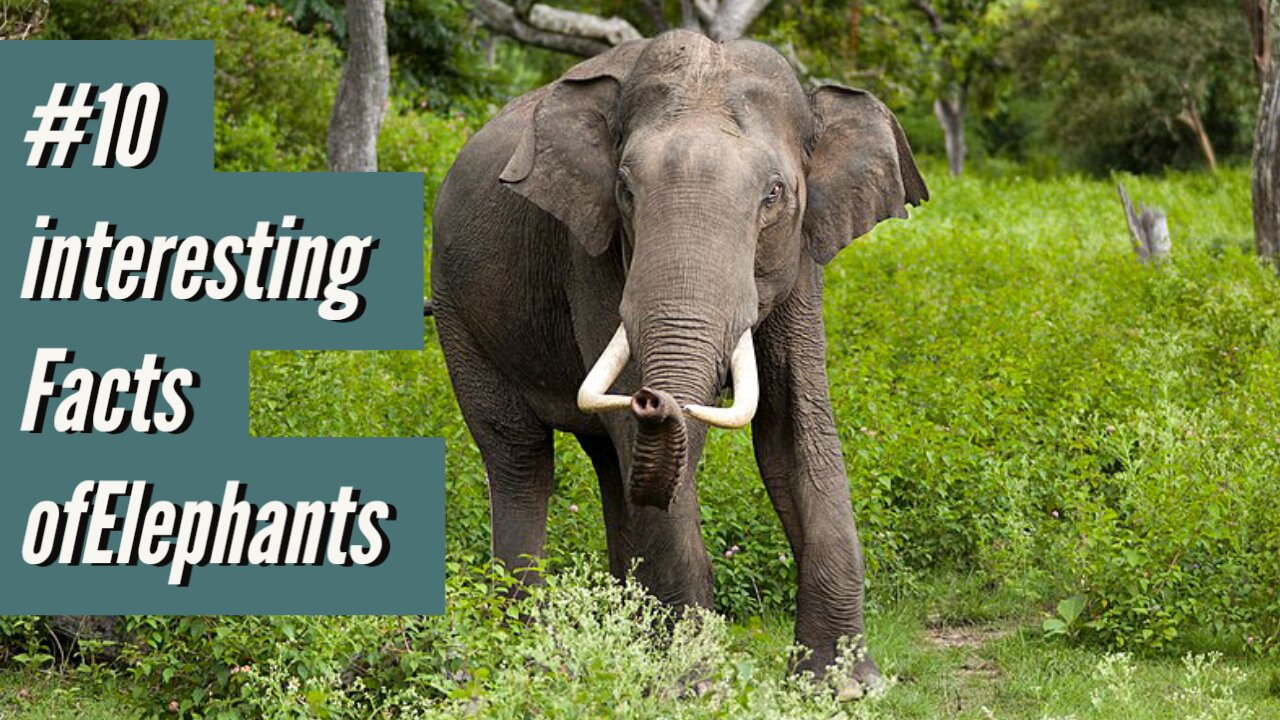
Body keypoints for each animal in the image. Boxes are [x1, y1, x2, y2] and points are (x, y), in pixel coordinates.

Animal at [430, 29, 926, 686]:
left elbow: (795, 430)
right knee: (520, 457)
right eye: (625, 189)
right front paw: (693, 683)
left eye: (774, 194)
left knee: (610, 465)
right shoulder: (591, 252)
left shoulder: (801, 258)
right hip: (457, 314)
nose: (651, 398)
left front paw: (843, 686)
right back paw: (528, 650)